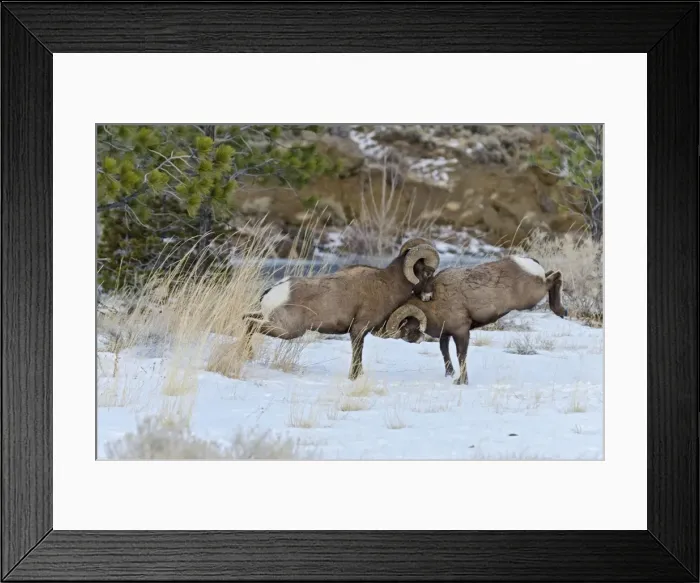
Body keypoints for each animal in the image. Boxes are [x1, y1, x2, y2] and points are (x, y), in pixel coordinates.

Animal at [242, 238, 440, 380]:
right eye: (428, 272)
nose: (429, 296)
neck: (388, 284)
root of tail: (274, 291)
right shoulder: (358, 330)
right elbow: (357, 356)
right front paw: (354, 377)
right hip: (288, 330)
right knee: (251, 324)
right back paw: (247, 355)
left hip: (271, 320)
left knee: (246, 319)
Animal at [380, 256, 568, 384]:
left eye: (404, 325)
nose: (412, 339)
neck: (433, 304)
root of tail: (525, 263)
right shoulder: (446, 335)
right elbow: (445, 352)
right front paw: (450, 374)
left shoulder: (461, 332)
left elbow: (461, 355)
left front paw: (461, 382)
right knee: (552, 275)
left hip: (532, 296)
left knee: (555, 276)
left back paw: (560, 310)